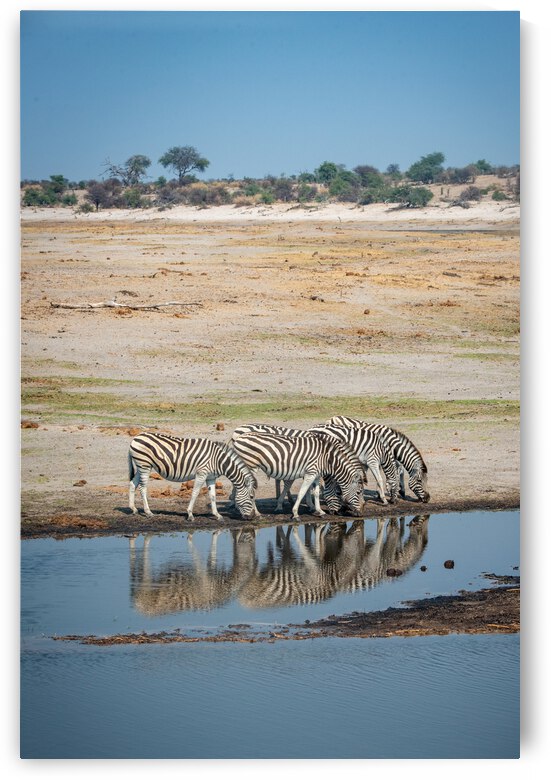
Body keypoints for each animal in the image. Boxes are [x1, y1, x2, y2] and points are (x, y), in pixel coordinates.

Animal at [128, 432, 258, 521]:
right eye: (251, 497)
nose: (252, 517)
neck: (218, 460)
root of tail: (137, 437)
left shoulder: (211, 477)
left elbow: (213, 496)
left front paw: (217, 515)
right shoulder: (202, 473)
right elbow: (195, 493)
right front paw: (190, 514)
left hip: (141, 466)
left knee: (133, 484)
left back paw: (133, 509)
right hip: (144, 465)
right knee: (142, 488)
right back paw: (148, 512)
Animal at [230, 431, 365, 519]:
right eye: (358, 492)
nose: (361, 514)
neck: (327, 459)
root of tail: (239, 437)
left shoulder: (316, 474)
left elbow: (316, 493)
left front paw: (320, 511)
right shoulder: (310, 473)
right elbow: (302, 493)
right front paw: (295, 513)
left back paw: (240, 508)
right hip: (250, 466)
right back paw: (256, 513)